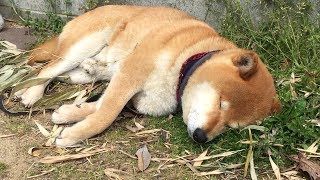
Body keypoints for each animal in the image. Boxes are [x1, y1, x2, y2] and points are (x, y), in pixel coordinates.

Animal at [14, 5, 280, 147]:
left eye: (230, 127)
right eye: (220, 103)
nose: (201, 137)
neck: (187, 58)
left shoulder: (131, 90)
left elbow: (101, 106)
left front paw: (70, 113)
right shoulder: (131, 73)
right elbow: (106, 114)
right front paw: (73, 135)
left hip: (80, 74)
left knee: (67, 73)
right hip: (82, 47)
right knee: (47, 69)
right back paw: (31, 93)